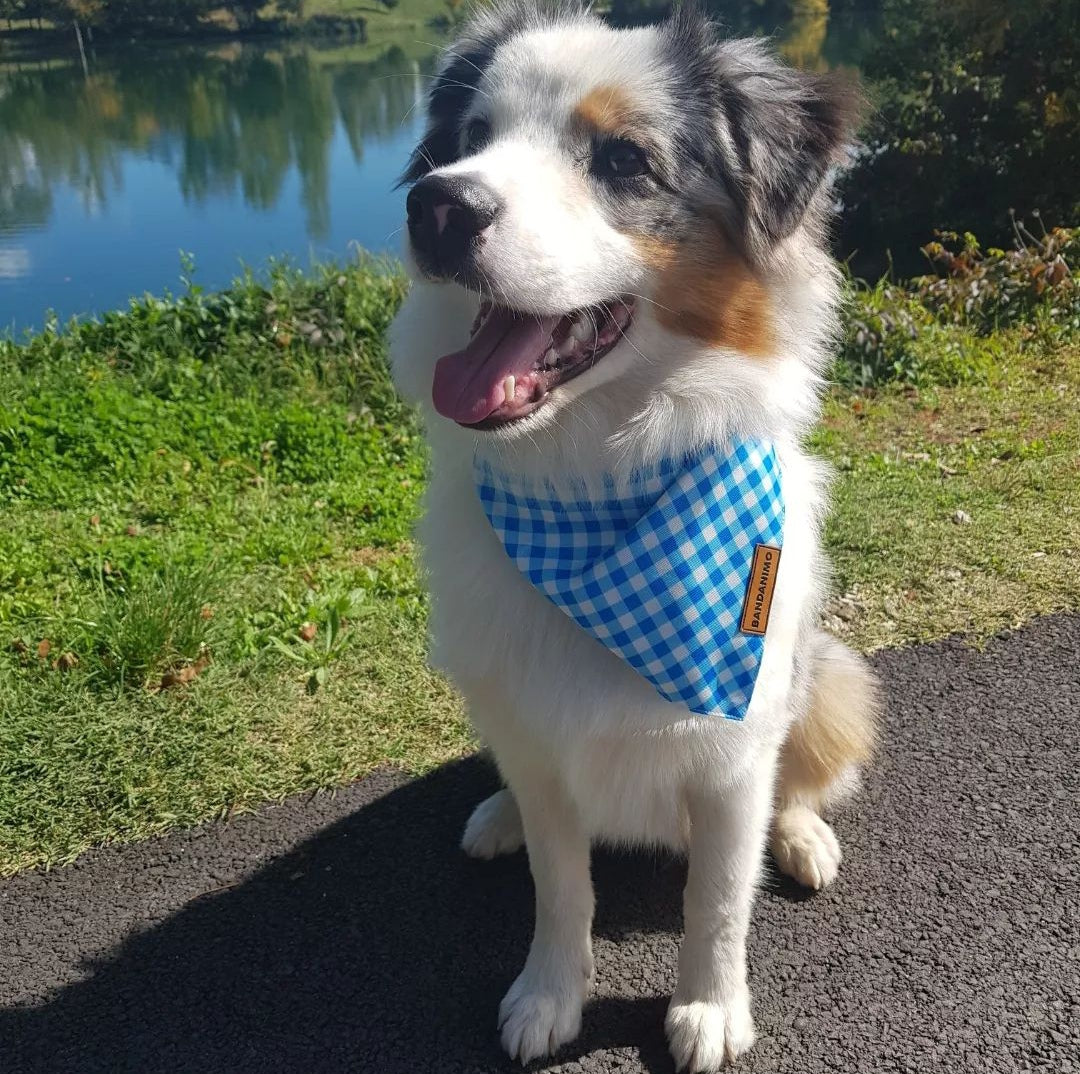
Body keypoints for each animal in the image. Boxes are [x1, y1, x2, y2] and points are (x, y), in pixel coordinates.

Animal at [388, 4, 876, 1067]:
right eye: (471, 137)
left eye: (621, 159)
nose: (436, 206)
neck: (592, 479)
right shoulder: (540, 740)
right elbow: (561, 887)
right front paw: (547, 995)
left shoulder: (734, 754)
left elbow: (719, 900)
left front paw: (709, 1008)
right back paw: (494, 817)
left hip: (825, 672)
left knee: (806, 774)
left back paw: (803, 837)